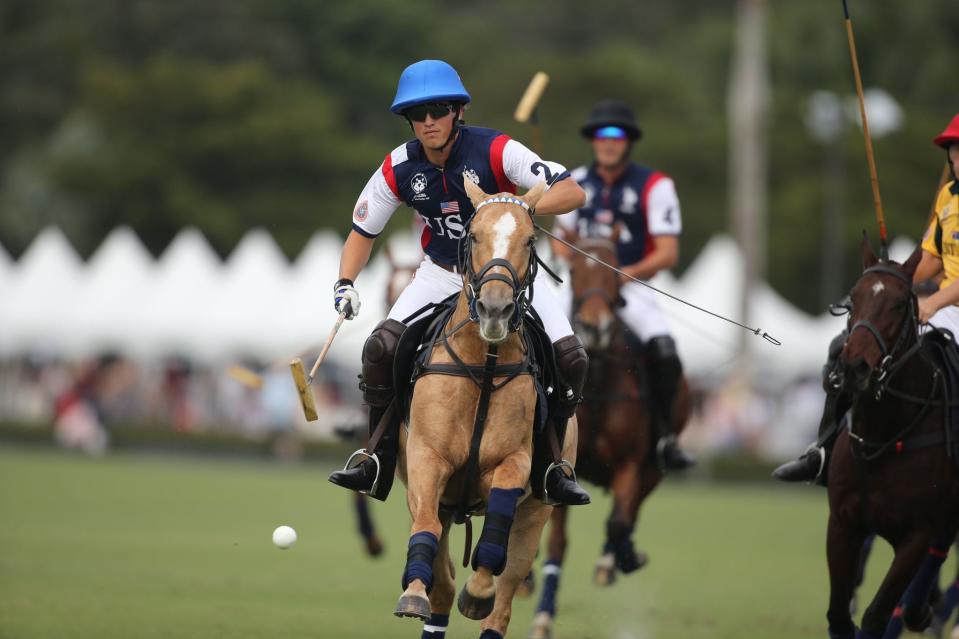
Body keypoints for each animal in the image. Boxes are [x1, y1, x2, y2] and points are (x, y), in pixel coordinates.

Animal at [390, 176, 576, 639]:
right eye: (473, 235)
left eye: (530, 240)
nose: (494, 309)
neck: (485, 363)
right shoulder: (425, 461)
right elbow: (425, 530)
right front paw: (412, 592)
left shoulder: (515, 461)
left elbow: (495, 544)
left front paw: (477, 591)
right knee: (441, 582)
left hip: (537, 511)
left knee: (504, 597)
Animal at [532, 236, 688, 639]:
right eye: (573, 271)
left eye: (613, 270)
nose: (594, 327)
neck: (599, 382)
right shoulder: (561, 467)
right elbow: (557, 542)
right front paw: (543, 616)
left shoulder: (632, 463)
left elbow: (619, 519)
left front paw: (620, 558)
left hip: (656, 467)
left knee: (628, 513)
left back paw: (618, 558)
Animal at [824, 239, 959, 639]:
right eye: (853, 297)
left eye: (900, 303)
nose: (854, 367)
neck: (882, 432)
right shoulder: (842, 523)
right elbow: (839, 617)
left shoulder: (918, 533)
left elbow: (876, 616)